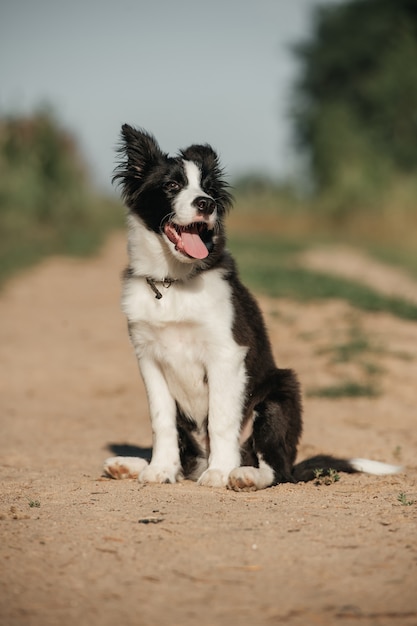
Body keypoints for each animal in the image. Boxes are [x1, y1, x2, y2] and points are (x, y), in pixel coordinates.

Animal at [102, 124, 402, 490]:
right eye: (172, 185)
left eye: (208, 188)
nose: (206, 203)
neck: (174, 282)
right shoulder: (148, 358)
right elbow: (162, 420)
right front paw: (159, 469)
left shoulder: (225, 353)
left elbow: (220, 419)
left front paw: (219, 473)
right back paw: (131, 465)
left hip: (278, 395)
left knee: (276, 470)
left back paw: (243, 474)